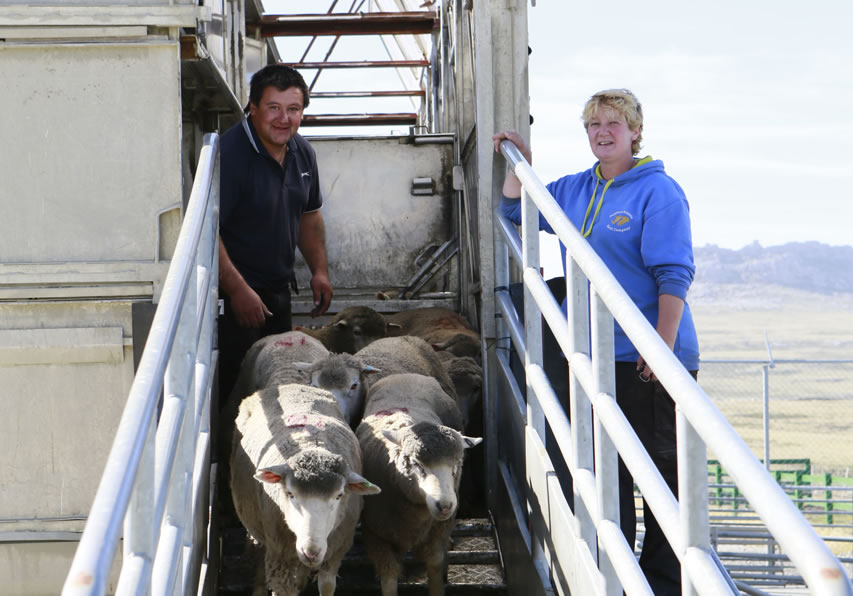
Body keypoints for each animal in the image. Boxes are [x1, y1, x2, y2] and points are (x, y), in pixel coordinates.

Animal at [231, 384, 382, 592]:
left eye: (339, 496)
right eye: (290, 494)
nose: (311, 552)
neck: (313, 445)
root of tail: (288, 385)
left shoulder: (334, 554)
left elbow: (326, 585)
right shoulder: (280, 559)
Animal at [356, 374, 482, 592]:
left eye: (457, 464)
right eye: (415, 463)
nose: (445, 505)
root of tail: (404, 375)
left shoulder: (439, 531)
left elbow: (435, 566)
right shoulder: (376, 536)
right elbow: (389, 579)